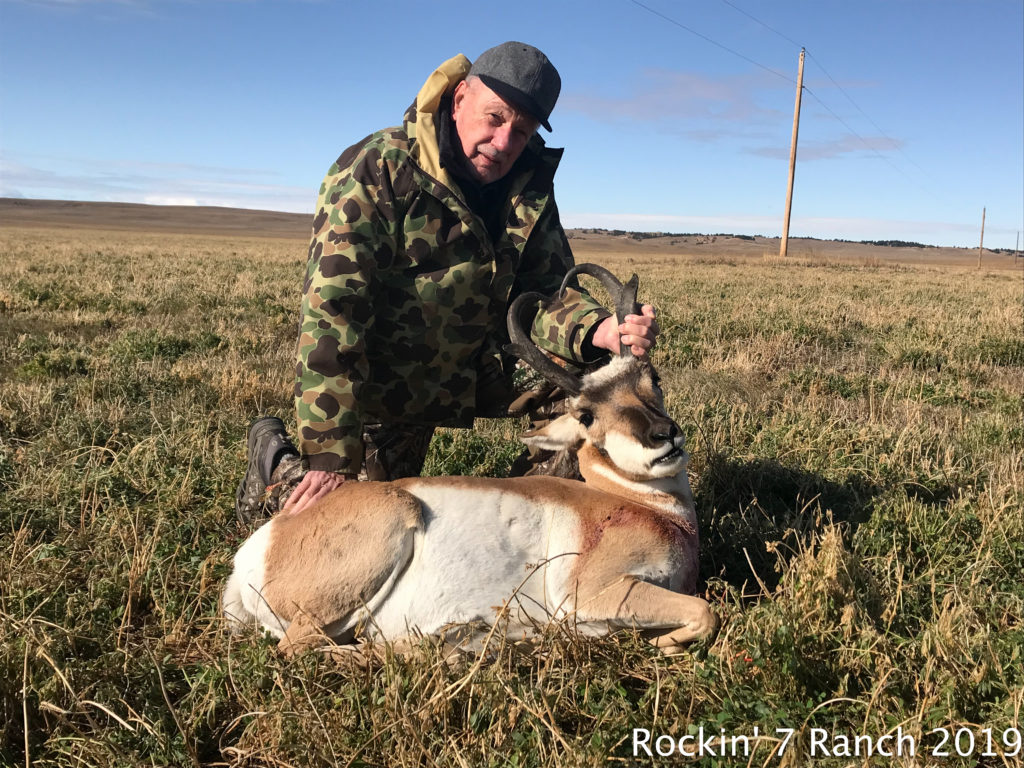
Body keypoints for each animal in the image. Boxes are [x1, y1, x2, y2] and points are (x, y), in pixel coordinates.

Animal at [224, 264, 720, 655]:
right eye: (586, 414)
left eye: (652, 377)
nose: (663, 436)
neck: (640, 506)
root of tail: (259, 547)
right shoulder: (591, 594)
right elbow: (707, 611)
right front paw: (665, 643)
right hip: (382, 535)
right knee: (301, 649)